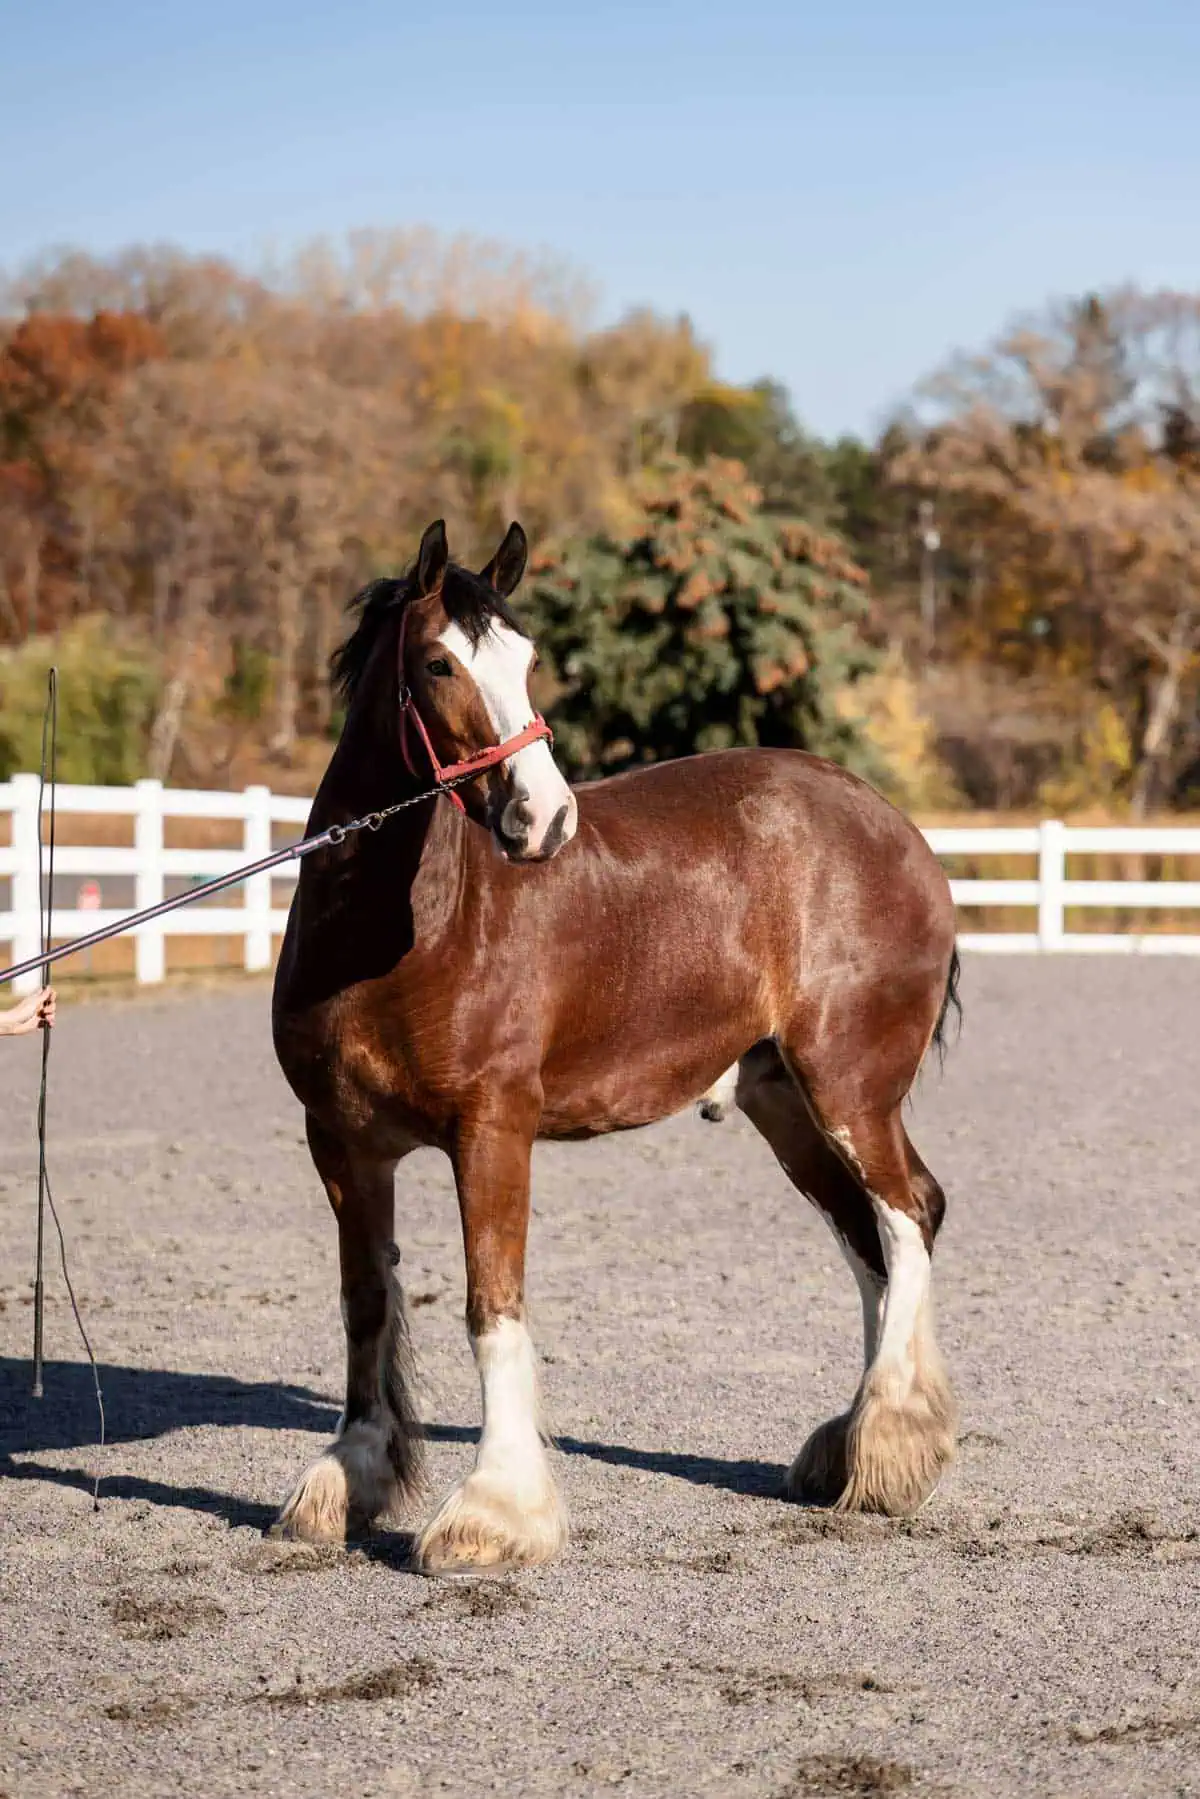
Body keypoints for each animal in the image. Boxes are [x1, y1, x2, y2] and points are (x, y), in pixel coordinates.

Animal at [270, 517, 961, 1573]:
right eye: (437, 663)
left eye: (528, 659)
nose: (544, 818)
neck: (400, 934)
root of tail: (902, 835)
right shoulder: (342, 1144)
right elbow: (366, 1305)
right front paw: (349, 1476)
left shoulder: (492, 1131)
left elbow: (491, 1305)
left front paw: (494, 1511)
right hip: (784, 1104)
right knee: (870, 1238)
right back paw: (847, 1445)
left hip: (849, 1088)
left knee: (903, 1219)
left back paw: (888, 1441)